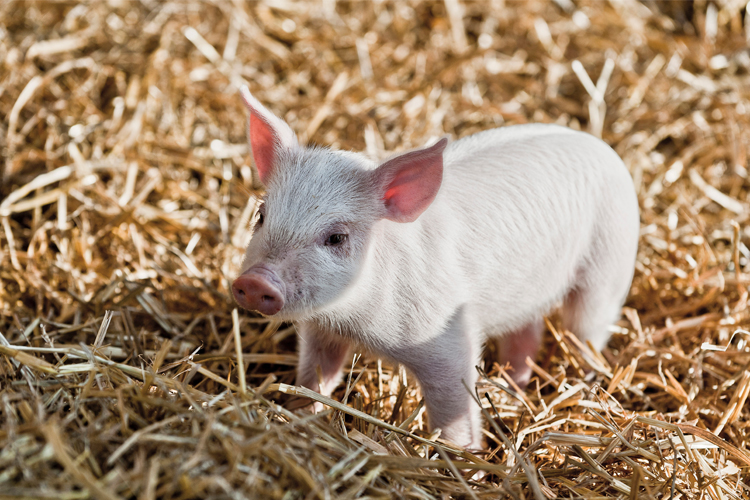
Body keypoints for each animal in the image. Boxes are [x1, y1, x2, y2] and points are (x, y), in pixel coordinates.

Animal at [232, 86, 639, 450]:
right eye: (261, 215)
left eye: (335, 237)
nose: (254, 282)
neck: (359, 323)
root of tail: (603, 148)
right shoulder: (321, 330)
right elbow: (315, 375)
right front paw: (298, 414)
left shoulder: (447, 336)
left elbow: (452, 403)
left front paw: (464, 457)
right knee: (528, 332)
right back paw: (512, 389)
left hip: (608, 266)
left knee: (586, 331)